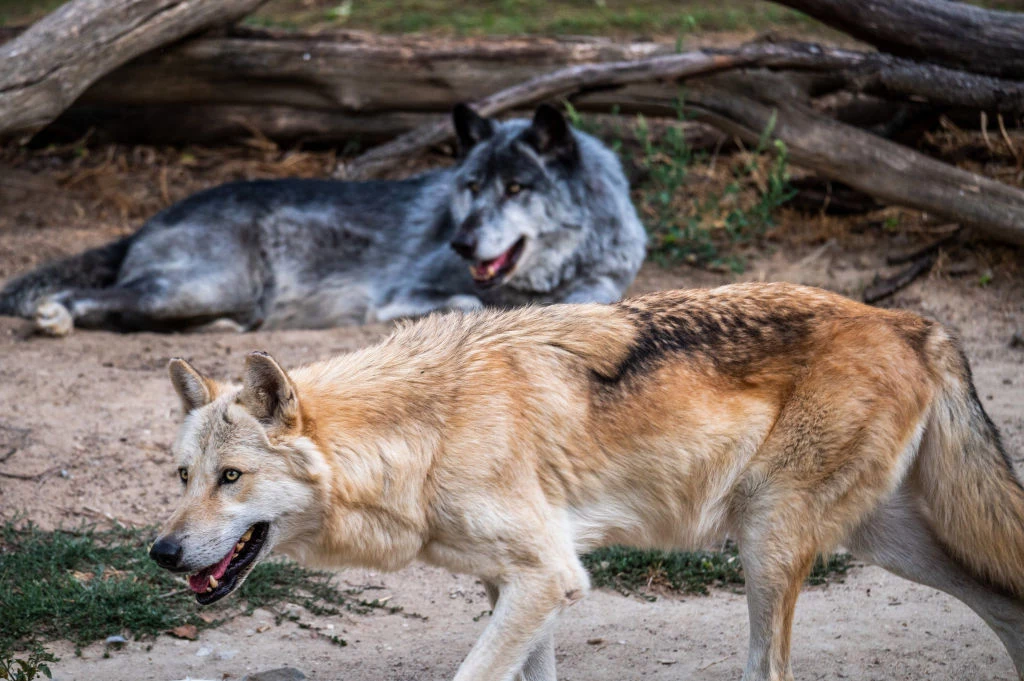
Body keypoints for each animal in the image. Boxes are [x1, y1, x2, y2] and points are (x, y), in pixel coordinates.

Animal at [0, 104, 638, 335]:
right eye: (473, 186)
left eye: (516, 188)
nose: (460, 242)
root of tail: (147, 220)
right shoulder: (405, 292)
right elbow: (469, 303)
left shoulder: (602, 286)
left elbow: (586, 304)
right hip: (203, 285)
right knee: (92, 301)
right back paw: (54, 317)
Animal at [149, 282, 1024, 679]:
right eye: (184, 475)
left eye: (232, 477)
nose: (160, 551)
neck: (428, 429)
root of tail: (913, 321)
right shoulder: (525, 585)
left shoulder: (548, 576)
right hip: (887, 541)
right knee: (1005, 597)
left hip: (768, 544)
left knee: (769, 667)